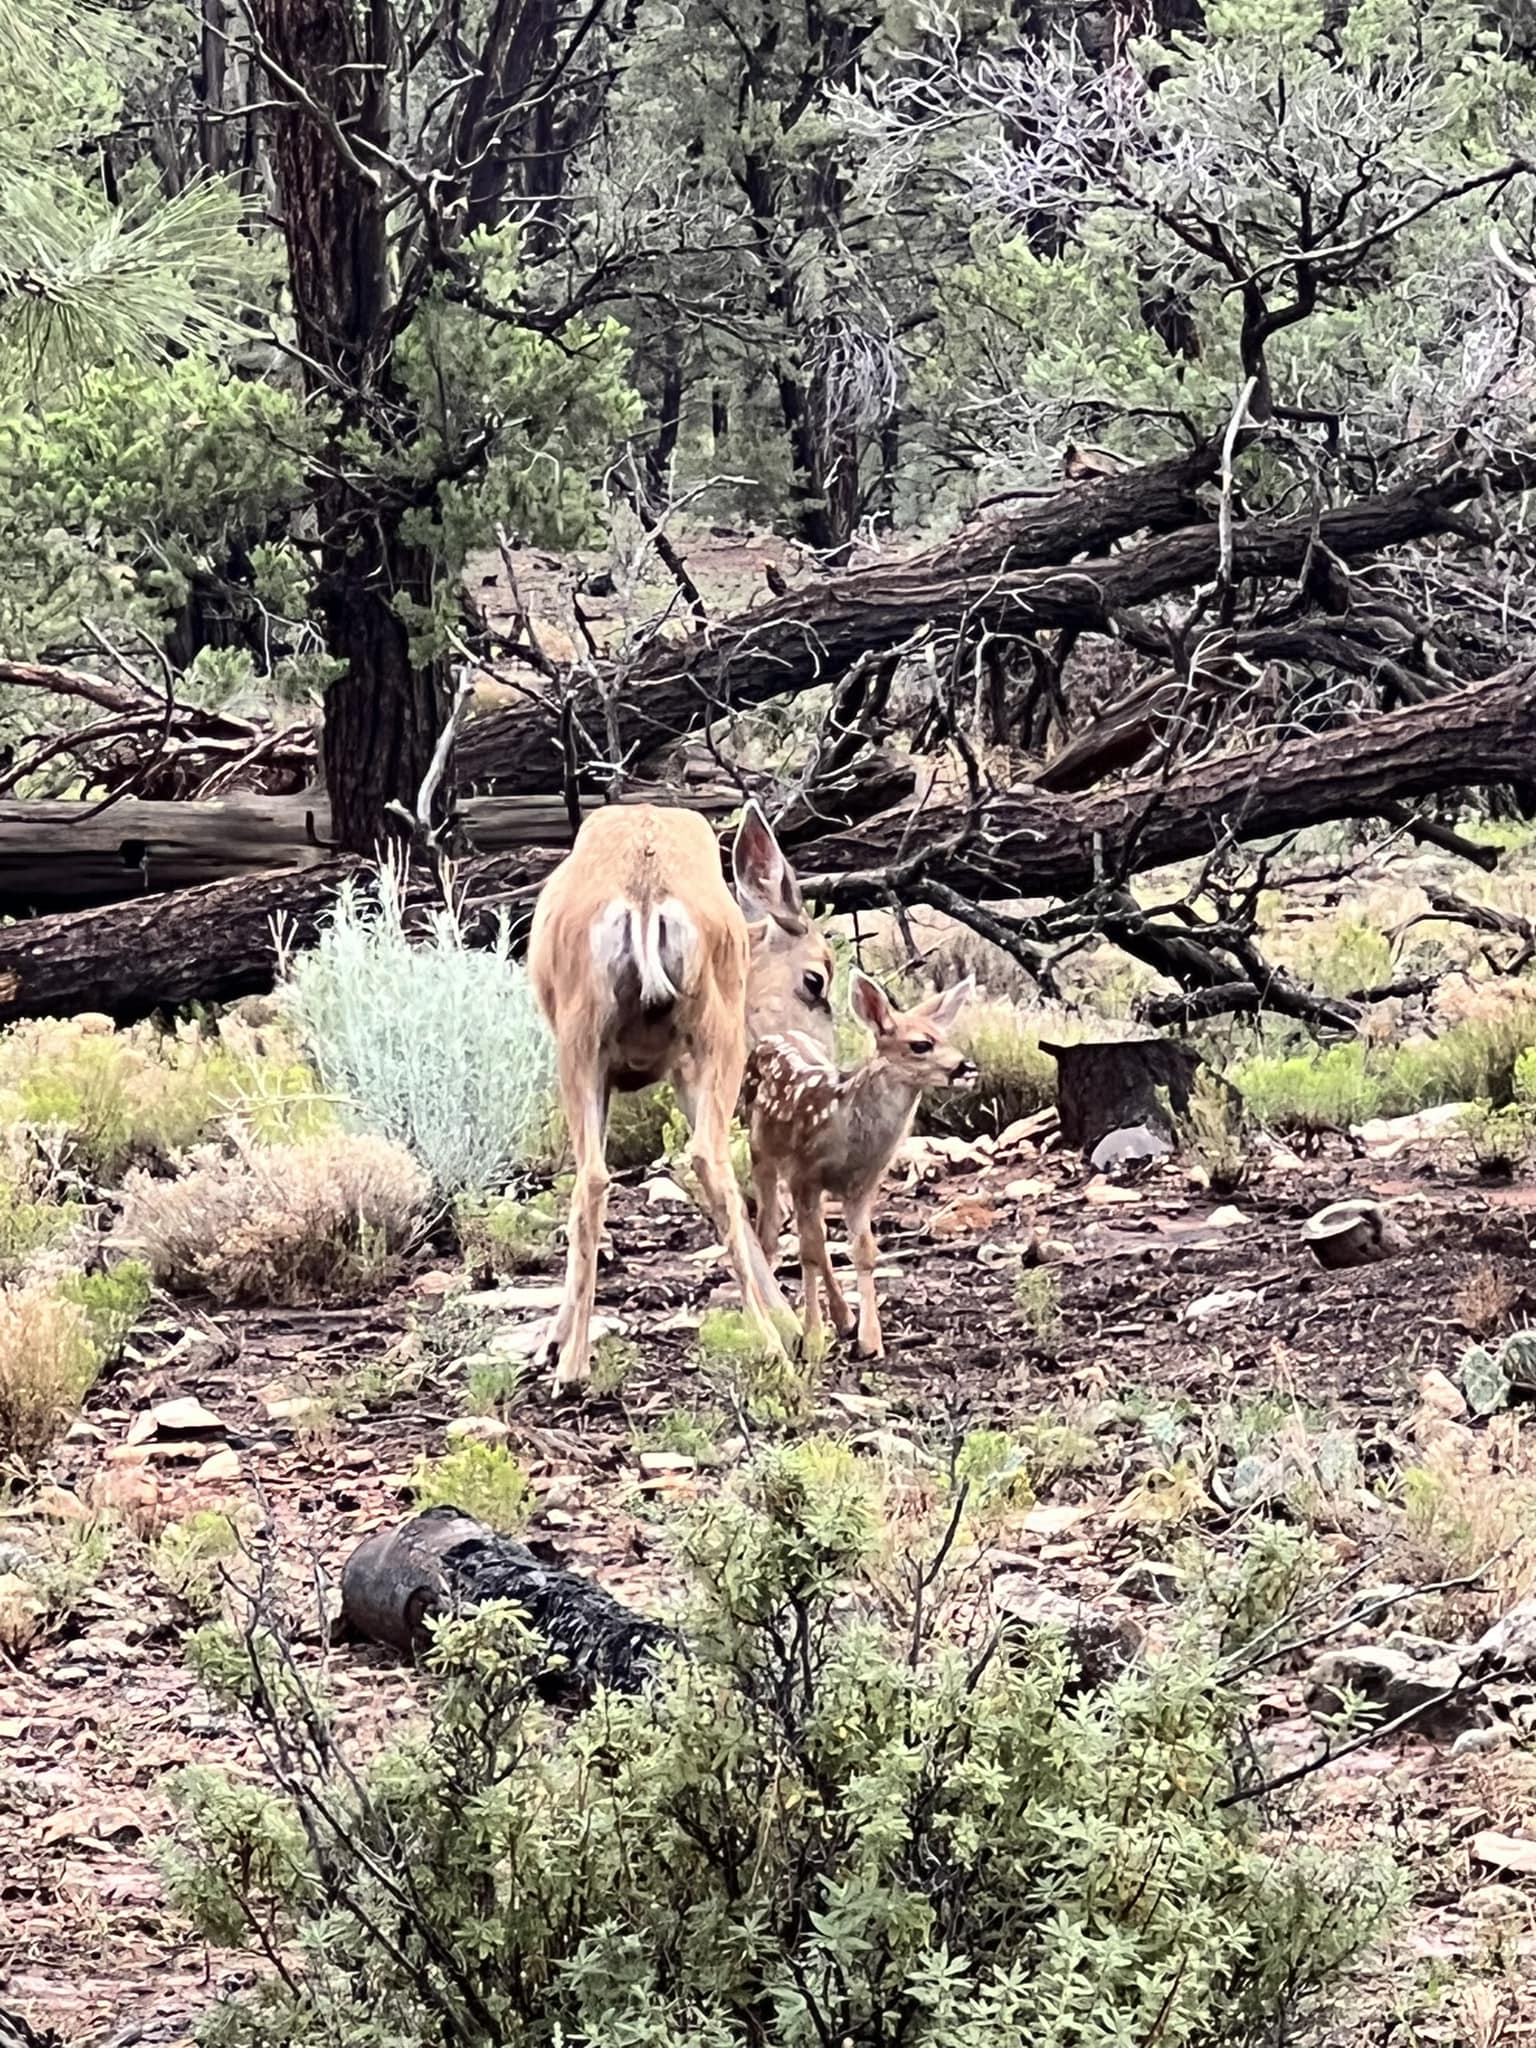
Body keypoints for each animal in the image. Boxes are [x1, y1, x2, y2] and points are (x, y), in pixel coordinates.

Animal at [526, 799, 835, 1393]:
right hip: (705, 1035)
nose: (832, 1058)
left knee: (610, 1176)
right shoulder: (681, 1066)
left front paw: (552, 1339)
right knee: (694, 1165)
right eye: (816, 980)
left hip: (595, 1038)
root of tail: (647, 893)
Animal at [748, 969, 976, 1360]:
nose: (967, 1067)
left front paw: (870, 1341)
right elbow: (809, 1252)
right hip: (759, 1151)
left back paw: (844, 1318)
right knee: (769, 1232)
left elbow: (863, 1251)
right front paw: (812, 1339)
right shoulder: (803, 1174)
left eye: (947, 1037)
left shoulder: (863, 1185)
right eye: (921, 1045)